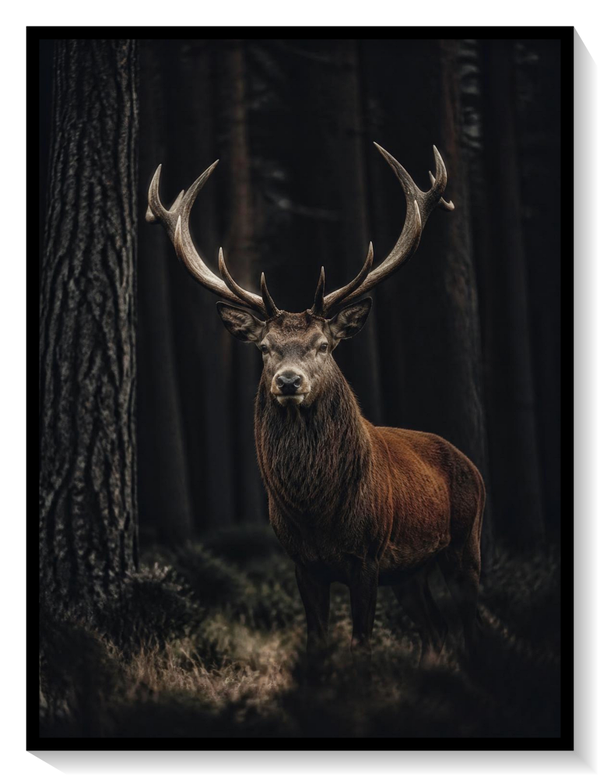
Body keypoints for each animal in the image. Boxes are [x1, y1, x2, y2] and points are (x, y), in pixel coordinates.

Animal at [146, 143, 485, 667]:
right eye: (265, 348)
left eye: (324, 345)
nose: (288, 381)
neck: (316, 513)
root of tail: (471, 464)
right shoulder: (302, 563)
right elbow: (316, 638)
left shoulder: (367, 556)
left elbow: (362, 639)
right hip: (411, 572)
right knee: (436, 630)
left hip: (466, 543)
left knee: (472, 625)